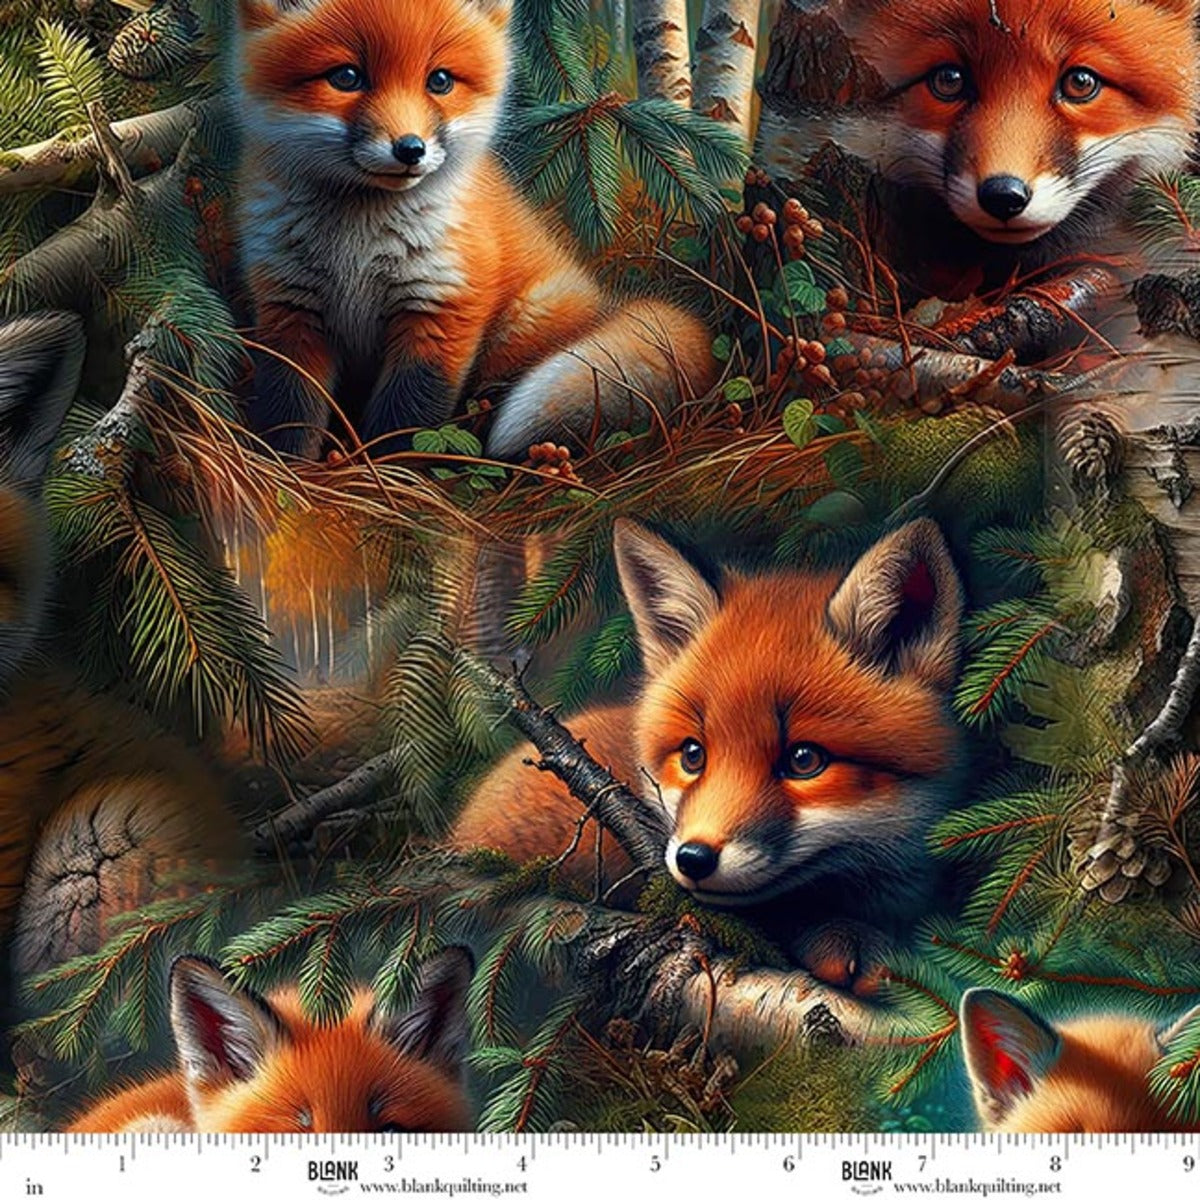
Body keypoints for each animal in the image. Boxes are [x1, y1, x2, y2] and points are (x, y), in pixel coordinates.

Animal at [234, 0, 718, 462]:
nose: (410, 149)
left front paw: (389, 477)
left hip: (522, 328)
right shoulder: (289, 311)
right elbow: (289, 414)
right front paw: (294, 476)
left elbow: (405, 419)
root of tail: (607, 305)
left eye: (440, 81)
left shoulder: (442, 309)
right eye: (347, 77)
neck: (358, 246)